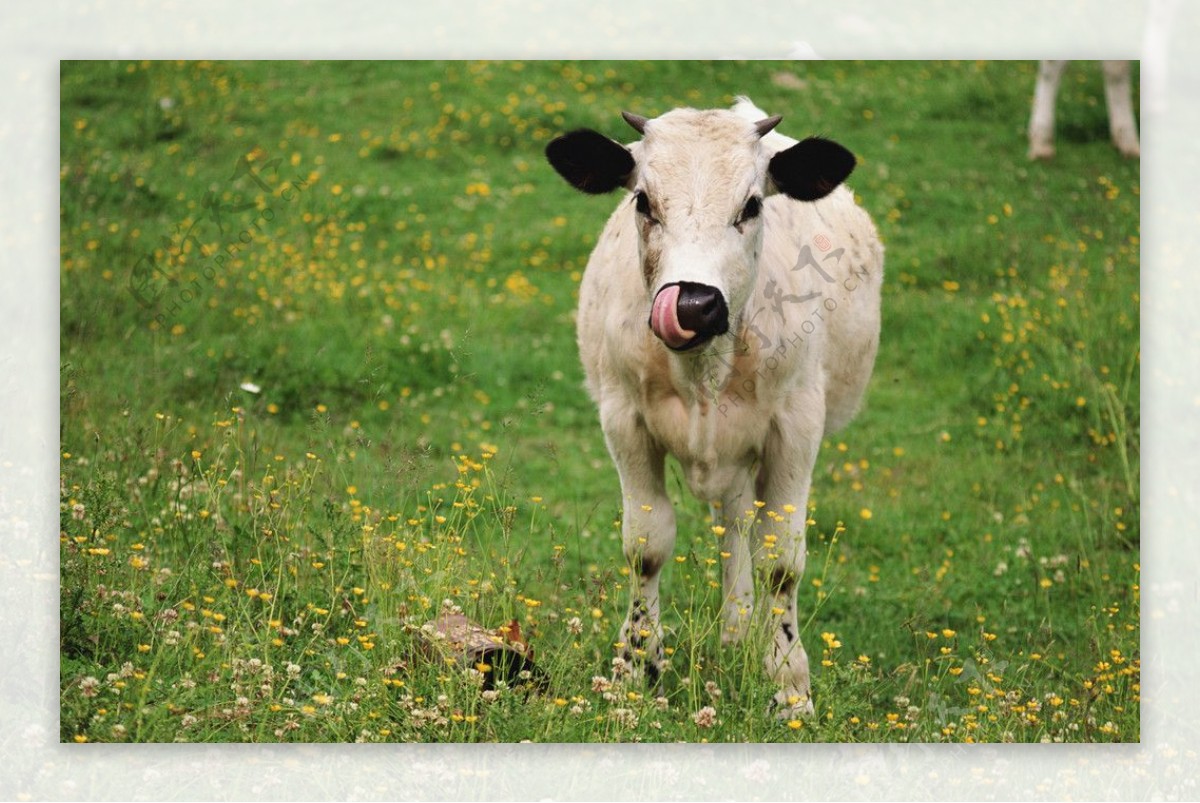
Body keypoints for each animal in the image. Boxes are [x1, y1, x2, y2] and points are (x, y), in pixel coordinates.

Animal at [544, 97, 883, 715]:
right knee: (732, 523)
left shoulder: (797, 425)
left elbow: (781, 560)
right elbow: (646, 545)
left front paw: (789, 686)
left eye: (751, 204)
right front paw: (636, 668)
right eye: (643, 201)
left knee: (742, 530)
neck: (703, 367)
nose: (694, 304)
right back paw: (734, 633)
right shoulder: (623, 419)